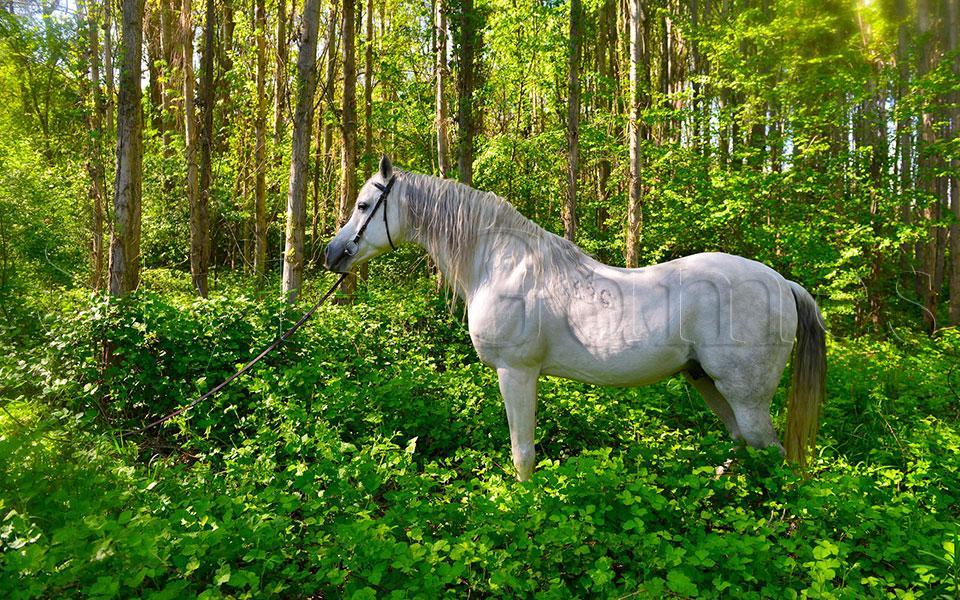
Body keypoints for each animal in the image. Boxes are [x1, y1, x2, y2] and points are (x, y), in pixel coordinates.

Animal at [324, 156, 826, 481]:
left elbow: (523, 454)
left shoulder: (517, 373)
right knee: (743, 444)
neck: (502, 264)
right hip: (705, 380)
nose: (331, 254)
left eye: (364, 206)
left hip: (745, 395)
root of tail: (783, 283)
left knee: (771, 452)